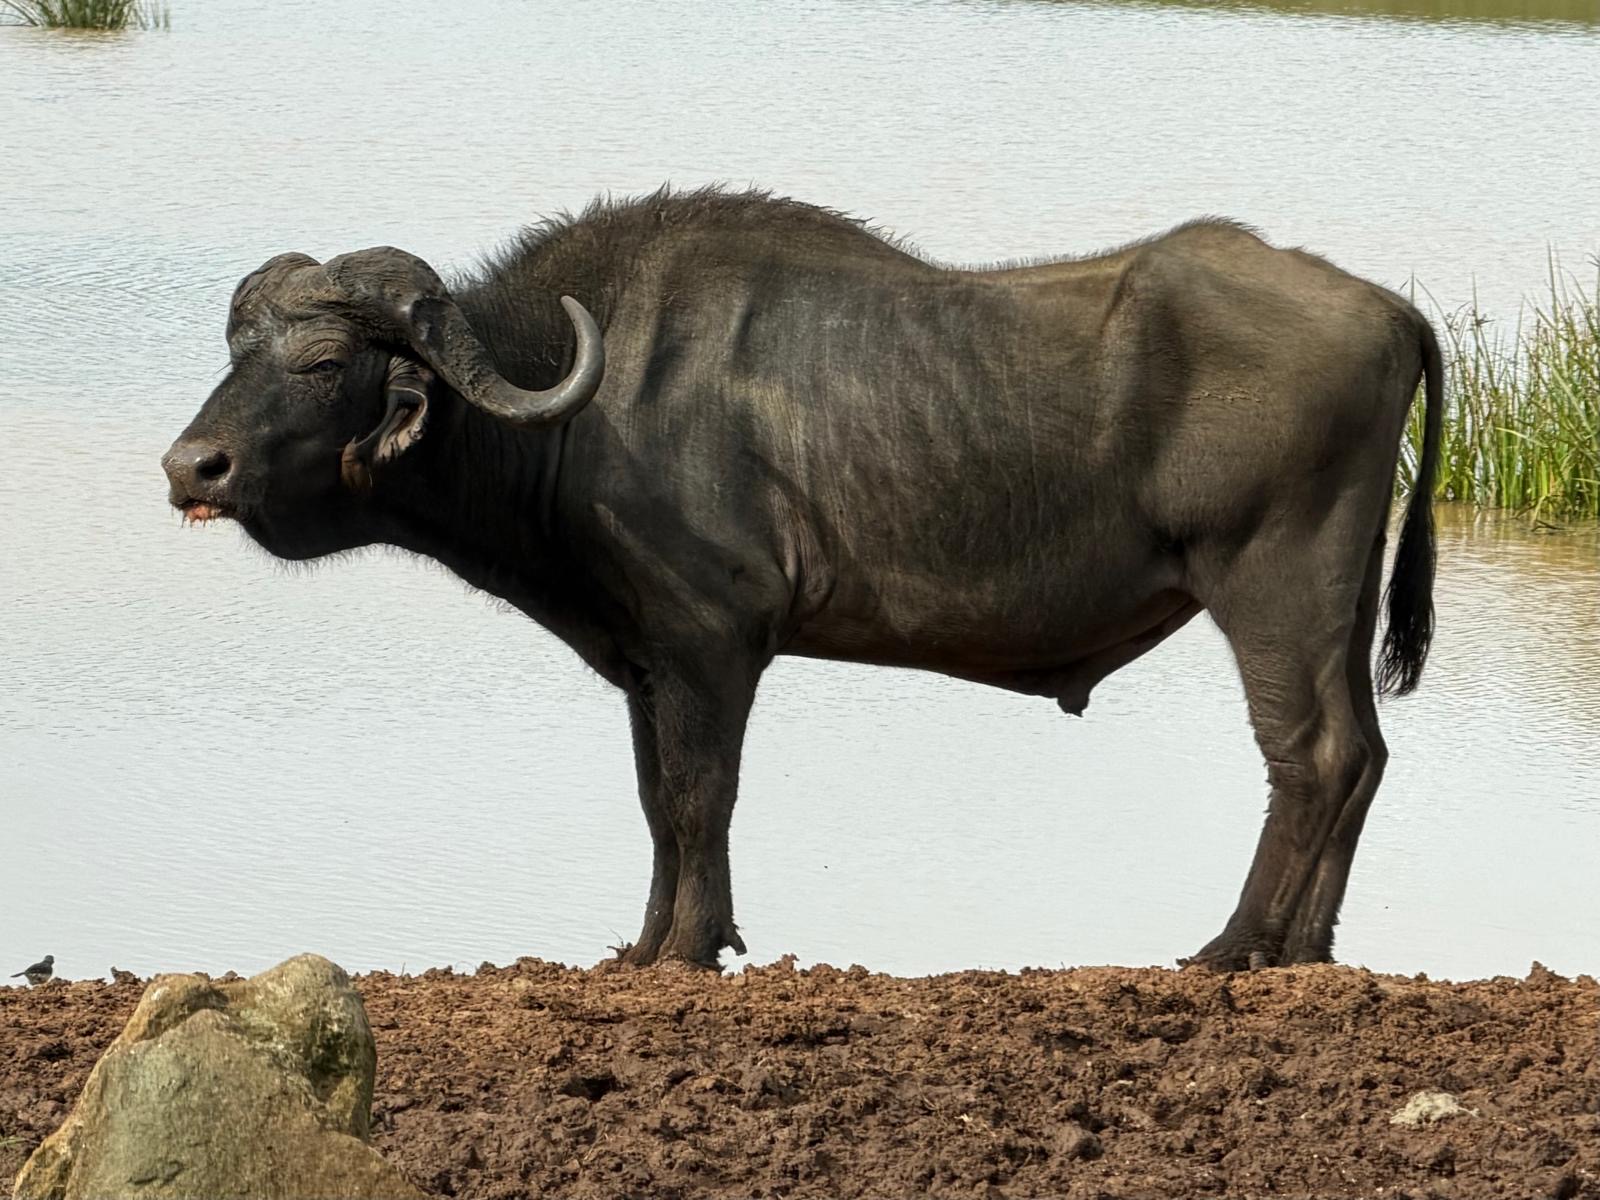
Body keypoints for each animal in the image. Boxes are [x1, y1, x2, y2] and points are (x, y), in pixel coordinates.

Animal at [164, 188, 1442, 970]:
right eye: (235, 353)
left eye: (325, 362)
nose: (191, 466)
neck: (590, 406)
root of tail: (1388, 309)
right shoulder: (647, 662)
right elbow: (656, 806)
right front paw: (652, 943)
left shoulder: (711, 644)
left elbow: (698, 796)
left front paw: (689, 948)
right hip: (1332, 605)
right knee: (1365, 754)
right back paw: (1305, 947)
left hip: (1273, 583)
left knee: (1310, 755)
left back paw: (1236, 945)